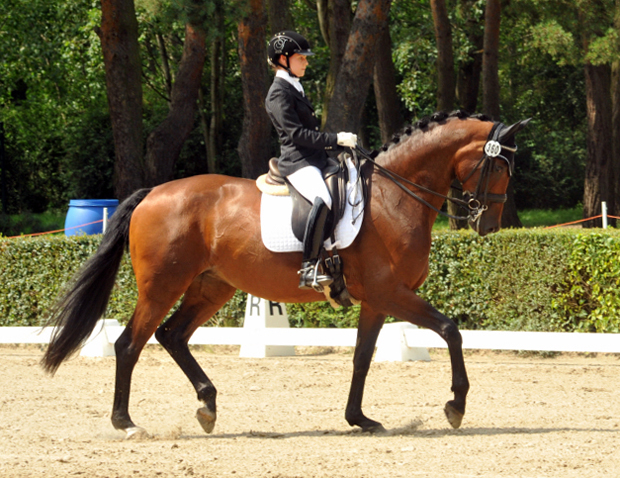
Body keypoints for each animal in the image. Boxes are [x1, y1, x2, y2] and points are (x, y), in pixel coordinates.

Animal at [42, 110, 528, 438]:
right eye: (500, 167)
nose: (489, 225)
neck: (394, 197)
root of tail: (150, 195)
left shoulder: (376, 299)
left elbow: (362, 358)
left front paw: (359, 419)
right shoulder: (391, 292)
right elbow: (450, 330)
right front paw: (456, 405)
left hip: (211, 286)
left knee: (172, 335)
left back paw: (208, 406)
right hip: (163, 285)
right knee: (130, 344)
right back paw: (126, 423)